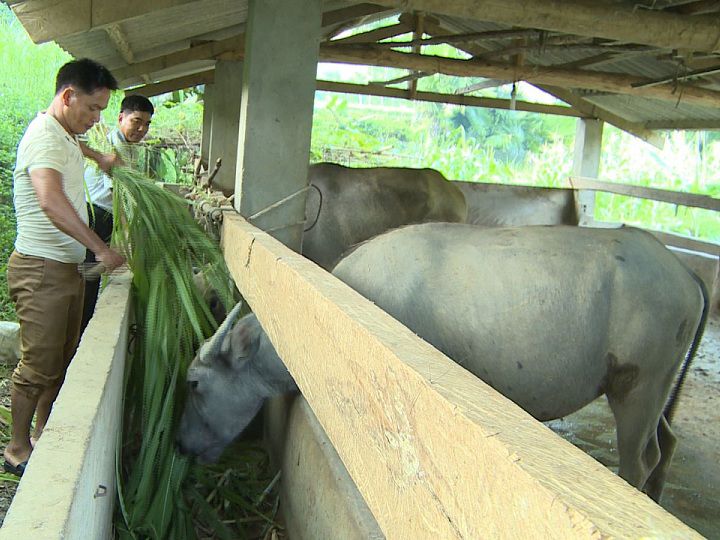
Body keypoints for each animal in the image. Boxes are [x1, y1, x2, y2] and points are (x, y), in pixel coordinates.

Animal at [177, 224, 704, 502]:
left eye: (195, 383)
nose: (182, 447)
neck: (337, 306)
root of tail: (683, 271)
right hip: (655, 391)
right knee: (667, 445)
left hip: (636, 388)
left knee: (640, 461)